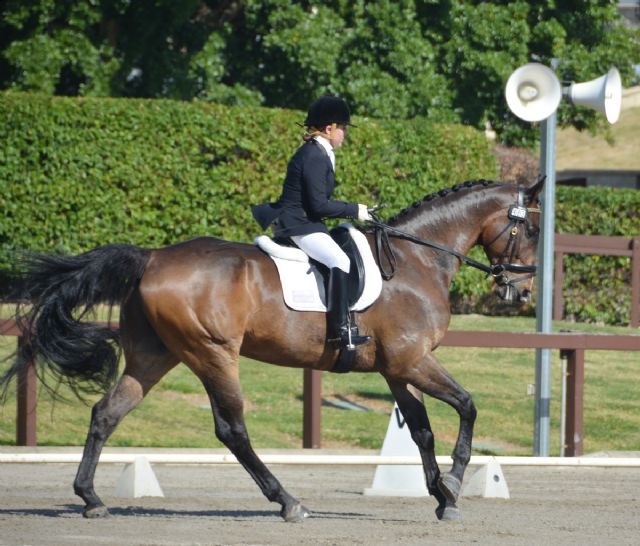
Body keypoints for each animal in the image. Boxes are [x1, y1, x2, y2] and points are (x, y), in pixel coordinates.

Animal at [1, 176, 544, 520]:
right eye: (533, 229)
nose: (521, 292)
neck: (415, 260)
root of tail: (151, 257)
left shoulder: (396, 368)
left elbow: (423, 431)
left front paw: (441, 496)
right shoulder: (413, 360)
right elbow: (467, 406)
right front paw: (454, 484)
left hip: (154, 356)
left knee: (106, 413)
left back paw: (90, 498)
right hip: (213, 353)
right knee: (231, 429)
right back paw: (288, 502)